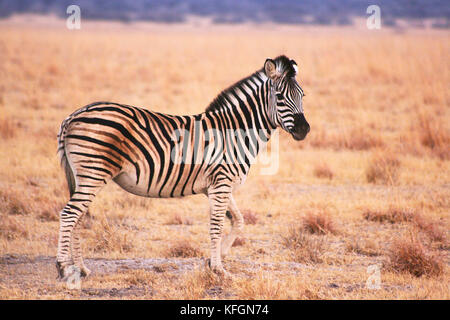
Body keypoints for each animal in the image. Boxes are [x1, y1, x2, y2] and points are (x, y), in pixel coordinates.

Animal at [55, 55, 310, 280]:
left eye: (302, 95)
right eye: (279, 96)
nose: (304, 130)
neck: (235, 132)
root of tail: (73, 115)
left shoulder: (219, 186)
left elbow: (238, 221)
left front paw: (212, 261)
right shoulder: (221, 183)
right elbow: (216, 226)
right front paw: (218, 269)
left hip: (83, 175)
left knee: (78, 217)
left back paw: (81, 268)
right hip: (93, 173)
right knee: (70, 214)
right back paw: (64, 268)